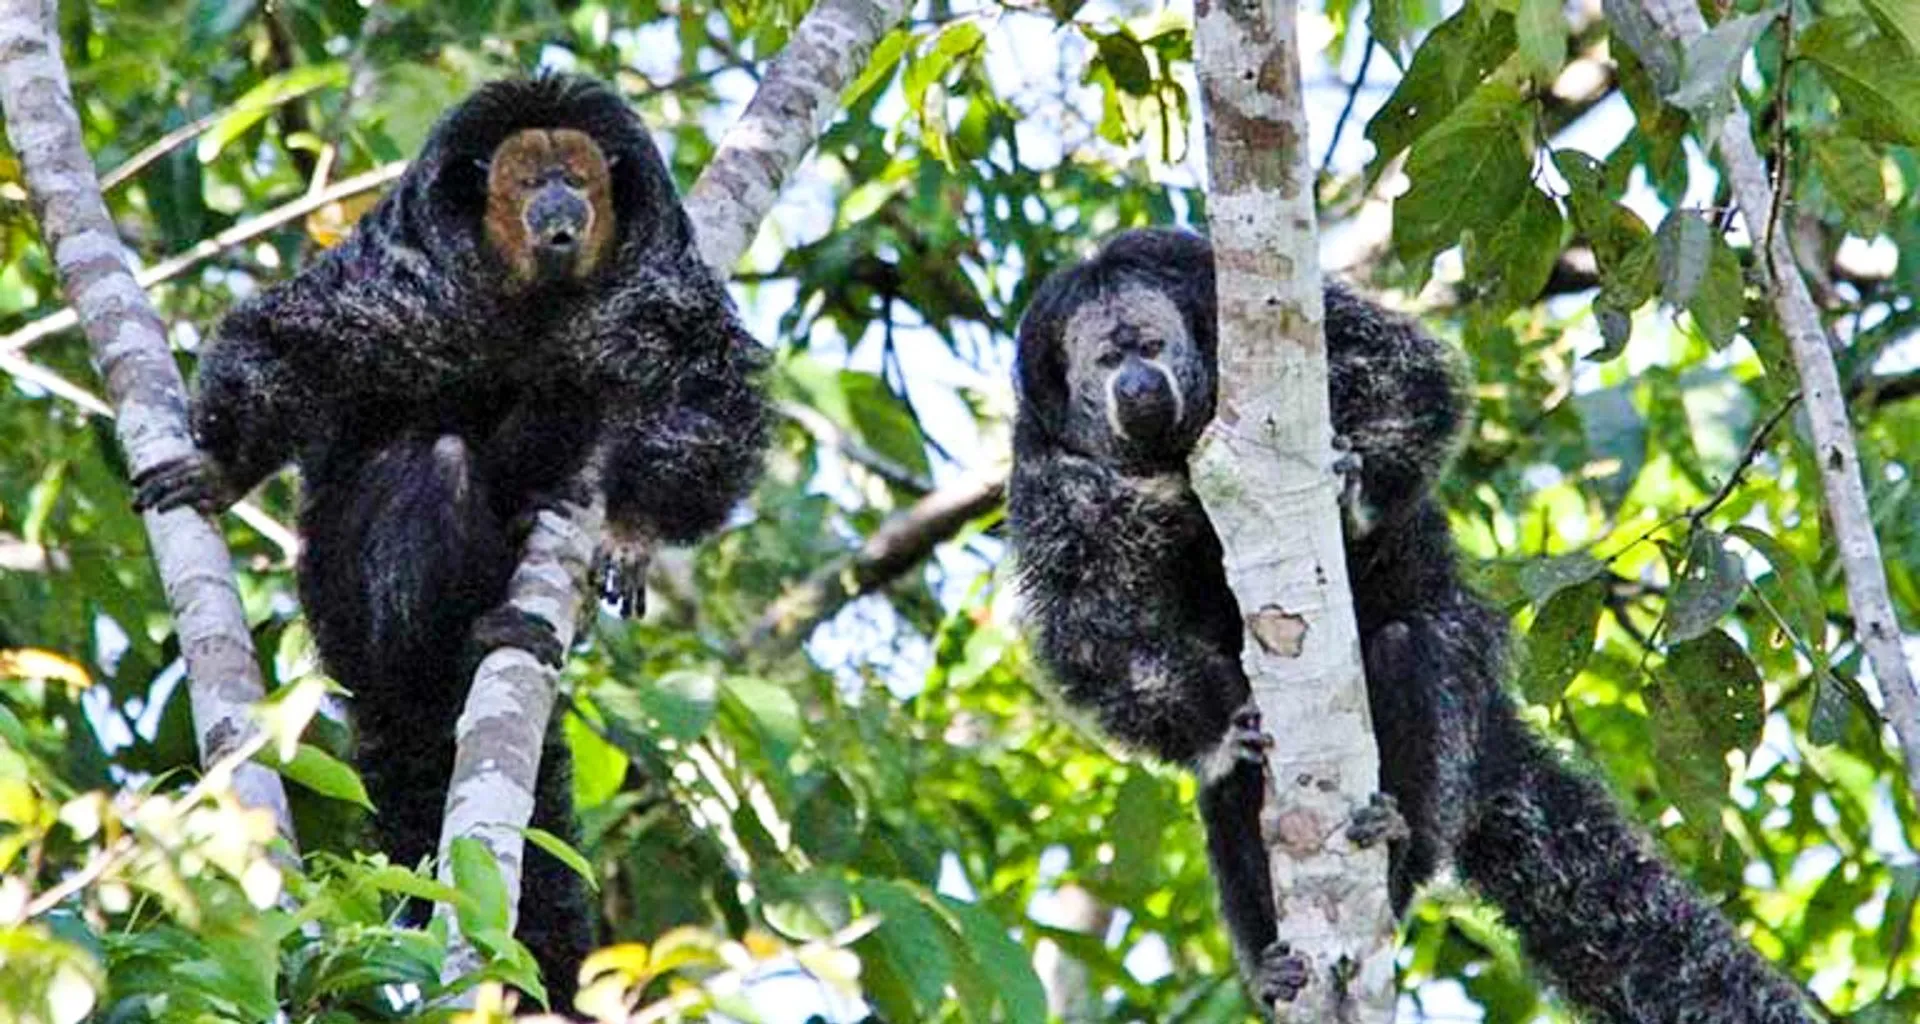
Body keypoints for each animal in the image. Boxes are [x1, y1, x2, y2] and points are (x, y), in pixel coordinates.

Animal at [133, 74, 769, 1008]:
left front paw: (632, 532)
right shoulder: (414, 278)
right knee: (433, 467)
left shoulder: (659, 283)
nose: (559, 205)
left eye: (578, 177)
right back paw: (450, 648)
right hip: (336, 588)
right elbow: (294, 335)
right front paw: (226, 467)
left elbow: (707, 393)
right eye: (530, 178)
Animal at [1007, 228, 1814, 1023]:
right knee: (1233, 784)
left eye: (1149, 344)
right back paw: (1271, 956)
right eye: (1106, 360)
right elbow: (1093, 633)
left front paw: (1352, 491)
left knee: (1415, 652)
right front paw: (1222, 727)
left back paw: (1400, 851)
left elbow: (1405, 372)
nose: (1137, 385)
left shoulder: (1211, 284)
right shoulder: (1049, 471)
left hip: (1465, 688)